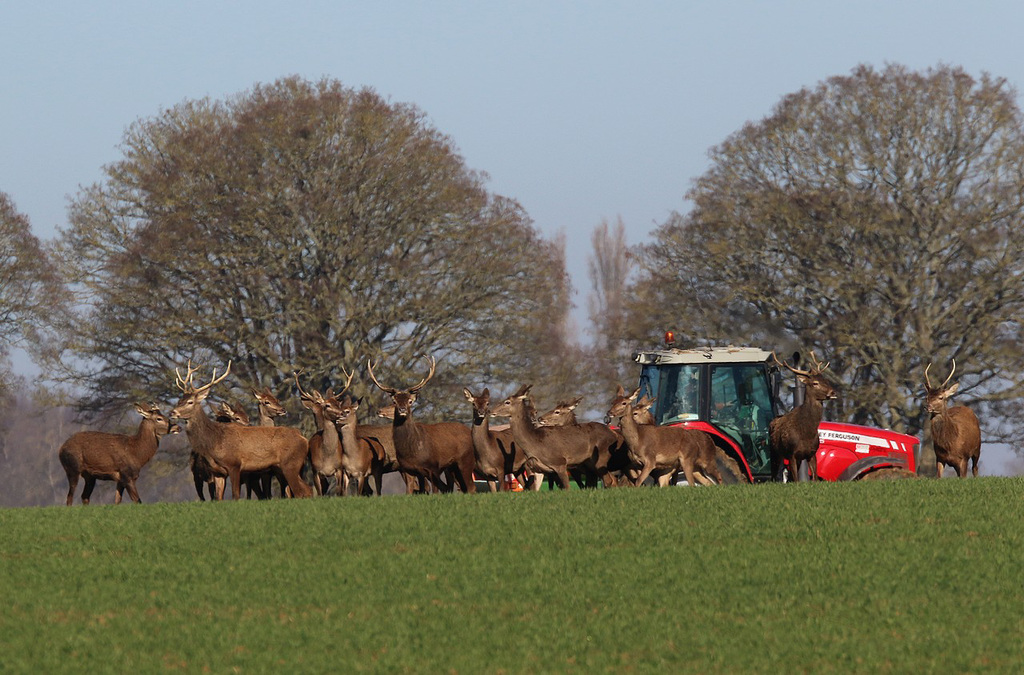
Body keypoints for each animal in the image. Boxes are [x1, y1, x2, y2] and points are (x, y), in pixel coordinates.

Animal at [169, 362, 311, 499]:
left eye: (190, 402)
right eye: (179, 401)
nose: (172, 412)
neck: (215, 441)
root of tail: (303, 438)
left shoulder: (235, 465)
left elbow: (235, 495)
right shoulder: (218, 473)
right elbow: (218, 498)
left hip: (290, 464)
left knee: (301, 492)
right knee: (305, 490)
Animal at [368, 356, 475, 493]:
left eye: (410, 401)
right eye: (394, 401)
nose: (402, 410)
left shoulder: (433, 468)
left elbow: (434, 491)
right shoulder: (410, 469)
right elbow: (416, 491)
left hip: (465, 460)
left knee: (471, 487)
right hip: (453, 468)